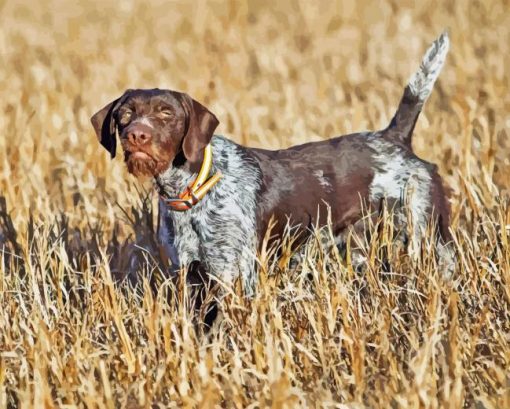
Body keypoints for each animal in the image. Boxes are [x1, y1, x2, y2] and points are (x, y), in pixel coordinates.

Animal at [91, 31, 454, 294]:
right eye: (125, 114)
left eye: (166, 114)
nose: (136, 135)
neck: (193, 190)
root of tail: (394, 138)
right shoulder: (189, 275)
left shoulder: (234, 275)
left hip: (426, 238)